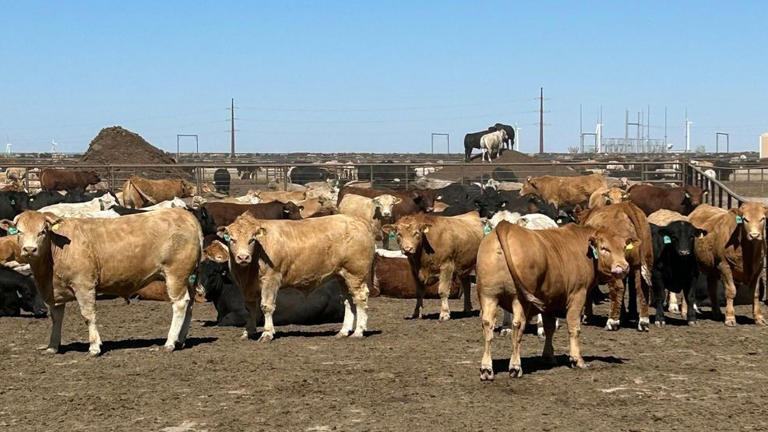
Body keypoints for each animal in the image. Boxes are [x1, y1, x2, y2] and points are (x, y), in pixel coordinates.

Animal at [0, 208, 202, 355]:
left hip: (175, 274)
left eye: (42, 231)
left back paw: (170, 342)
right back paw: (180, 340)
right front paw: (52, 347)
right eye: (19, 232)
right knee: (190, 303)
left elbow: (88, 315)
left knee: (180, 303)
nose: (29, 249)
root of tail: (186, 215)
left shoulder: (84, 285)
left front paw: (94, 347)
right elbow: (56, 318)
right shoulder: (54, 292)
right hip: (187, 277)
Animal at [220, 213, 375, 341]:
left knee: (360, 298)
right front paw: (248, 331)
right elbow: (250, 308)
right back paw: (343, 332)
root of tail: (358, 220)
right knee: (348, 301)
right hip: (342, 276)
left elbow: (266, 306)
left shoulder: (271, 279)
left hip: (355, 274)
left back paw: (358, 331)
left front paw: (267, 333)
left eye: (251, 240)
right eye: (232, 239)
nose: (243, 257)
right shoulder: (246, 287)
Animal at [476, 222, 631, 381]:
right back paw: (515, 366)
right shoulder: (577, 295)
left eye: (623, 247)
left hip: (488, 296)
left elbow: (549, 328)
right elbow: (574, 328)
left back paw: (486, 368)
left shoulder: (549, 302)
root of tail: (506, 226)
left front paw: (548, 357)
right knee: (517, 325)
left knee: (487, 325)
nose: (623, 267)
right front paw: (577, 360)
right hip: (519, 299)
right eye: (604, 248)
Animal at [580, 202, 653, 331]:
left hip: (614, 269)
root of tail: (626, 205)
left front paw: (587, 316)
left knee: (618, 288)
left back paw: (612, 321)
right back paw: (643, 321)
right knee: (642, 287)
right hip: (643, 261)